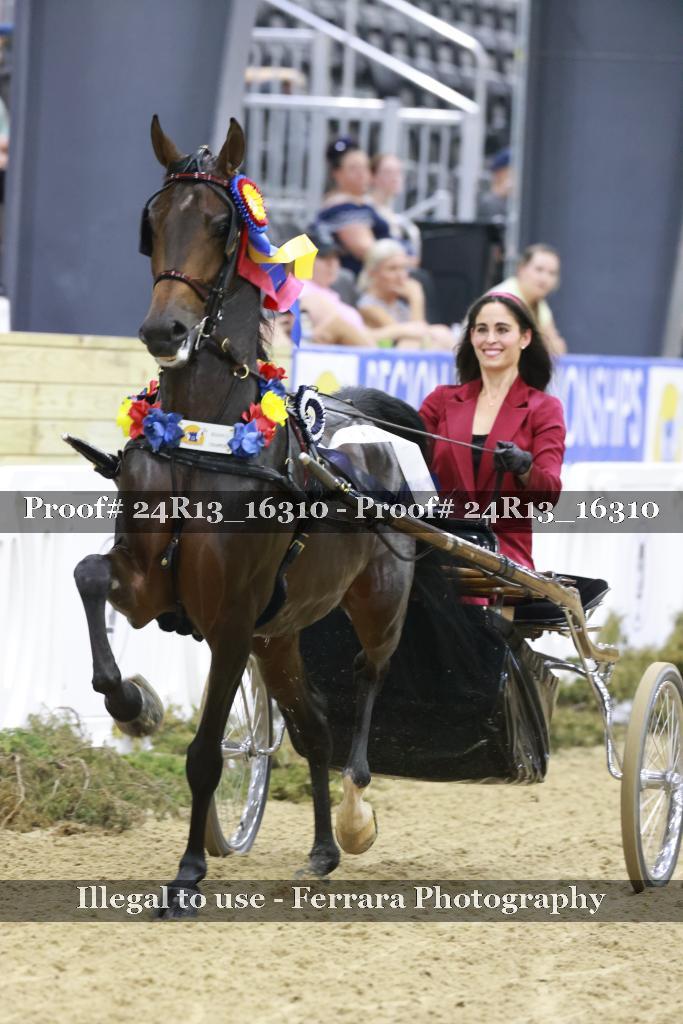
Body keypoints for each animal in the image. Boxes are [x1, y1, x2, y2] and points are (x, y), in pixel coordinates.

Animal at [73, 116, 449, 918]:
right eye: (153, 220)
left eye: (221, 225)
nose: (165, 331)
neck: (205, 444)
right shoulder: (152, 585)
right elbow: (90, 577)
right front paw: (132, 703)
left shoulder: (231, 620)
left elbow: (206, 751)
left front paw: (187, 872)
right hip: (280, 638)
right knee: (312, 730)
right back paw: (322, 848)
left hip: (373, 605)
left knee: (365, 687)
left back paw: (354, 815)